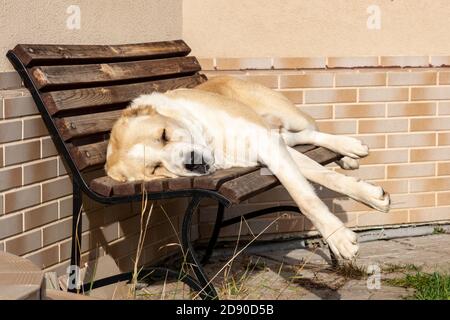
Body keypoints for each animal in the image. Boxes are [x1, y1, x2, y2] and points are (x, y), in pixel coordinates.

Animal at [105, 76, 390, 262]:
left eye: (163, 135)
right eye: (155, 169)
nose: (192, 162)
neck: (212, 143)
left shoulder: (266, 142)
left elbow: (304, 195)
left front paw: (338, 237)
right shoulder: (271, 150)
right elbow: (314, 182)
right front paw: (366, 200)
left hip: (287, 117)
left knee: (312, 129)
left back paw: (349, 152)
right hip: (280, 134)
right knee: (303, 138)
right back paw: (348, 152)